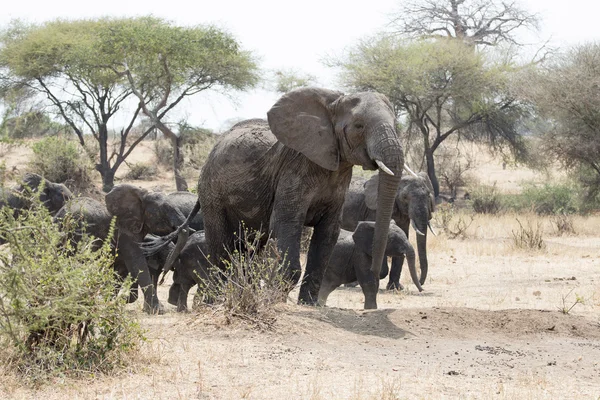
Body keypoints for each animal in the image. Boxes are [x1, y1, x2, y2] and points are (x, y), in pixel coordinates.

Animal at [149, 86, 408, 310]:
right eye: (359, 126)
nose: (376, 271)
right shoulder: (294, 170)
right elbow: (287, 223)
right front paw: (276, 302)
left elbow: (328, 232)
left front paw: (309, 305)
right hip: (212, 191)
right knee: (221, 245)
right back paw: (216, 302)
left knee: (250, 249)